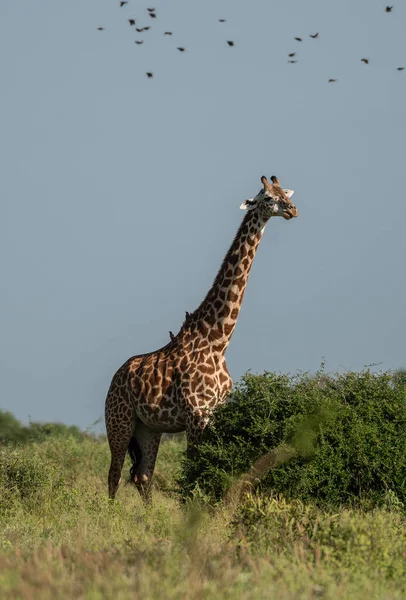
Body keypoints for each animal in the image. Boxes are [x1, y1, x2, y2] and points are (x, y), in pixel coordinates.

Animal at [104, 176, 298, 500]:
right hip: (119, 421)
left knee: (143, 476)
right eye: (268, 198)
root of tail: (116, 377)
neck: (218, 340)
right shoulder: (196, 415)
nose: (293, 210)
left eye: (286, 192)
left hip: (149, 428)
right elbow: (192, 472)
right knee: (114, 476)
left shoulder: (214, 413)